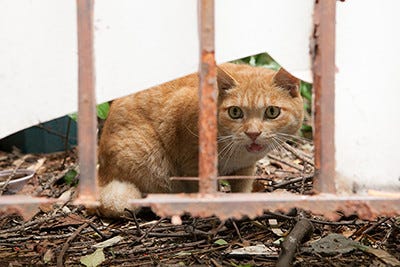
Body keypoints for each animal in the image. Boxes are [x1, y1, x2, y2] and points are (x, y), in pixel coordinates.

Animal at [96, 62, 304, 218]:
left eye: (272, 112)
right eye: (235, 112)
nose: (253, 133)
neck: (237, 154)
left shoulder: (244, 168)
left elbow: (242, 187)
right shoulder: (191, 159)